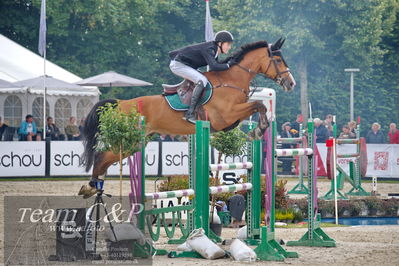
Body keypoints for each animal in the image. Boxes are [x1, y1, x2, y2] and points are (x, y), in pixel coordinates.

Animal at [79, 39, 296, 197]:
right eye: (278, 61)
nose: (291, 83)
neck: (231, 80)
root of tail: (120, 104)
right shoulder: (225, 116)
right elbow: (259, 105)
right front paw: (259, 129)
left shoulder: (229, 120)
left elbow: (257, 108)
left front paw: (257, 130)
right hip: (129, 139)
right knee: (102, 156)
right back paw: (90, 186)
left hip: (137, 142)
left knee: (106, 159)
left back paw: (94, 186)